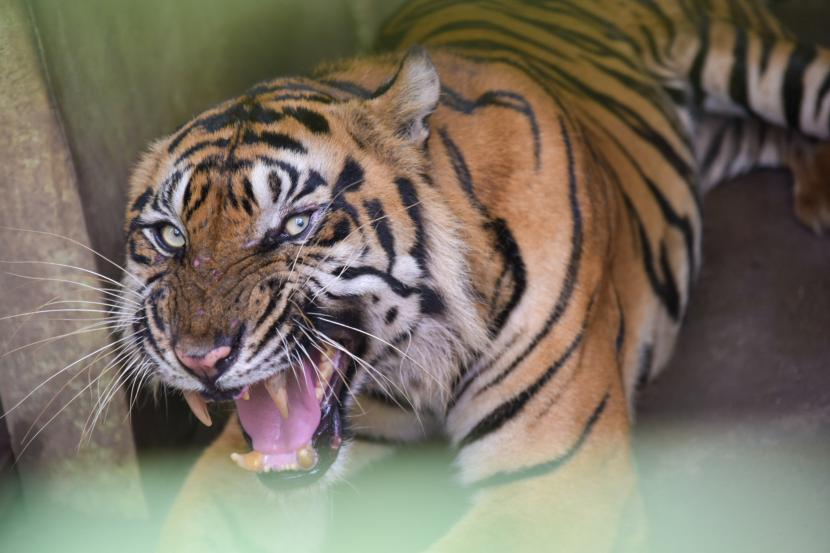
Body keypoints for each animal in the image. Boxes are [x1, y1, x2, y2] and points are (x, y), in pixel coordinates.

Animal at [117, 0, 830, 548]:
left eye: (295, 223)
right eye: (170, 235)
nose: (201, 358)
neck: (412, 356)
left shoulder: (555, 476)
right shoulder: (238, 467)